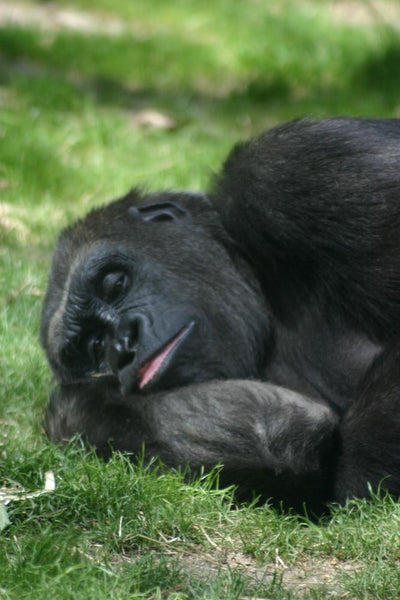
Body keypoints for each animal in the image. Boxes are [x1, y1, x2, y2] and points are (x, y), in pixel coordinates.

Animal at [39, 119, 400, 512]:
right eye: (95, 346)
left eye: (115, 283)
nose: (124, 346)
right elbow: (285, 431)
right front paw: (87, 408)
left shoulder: (292, 169)